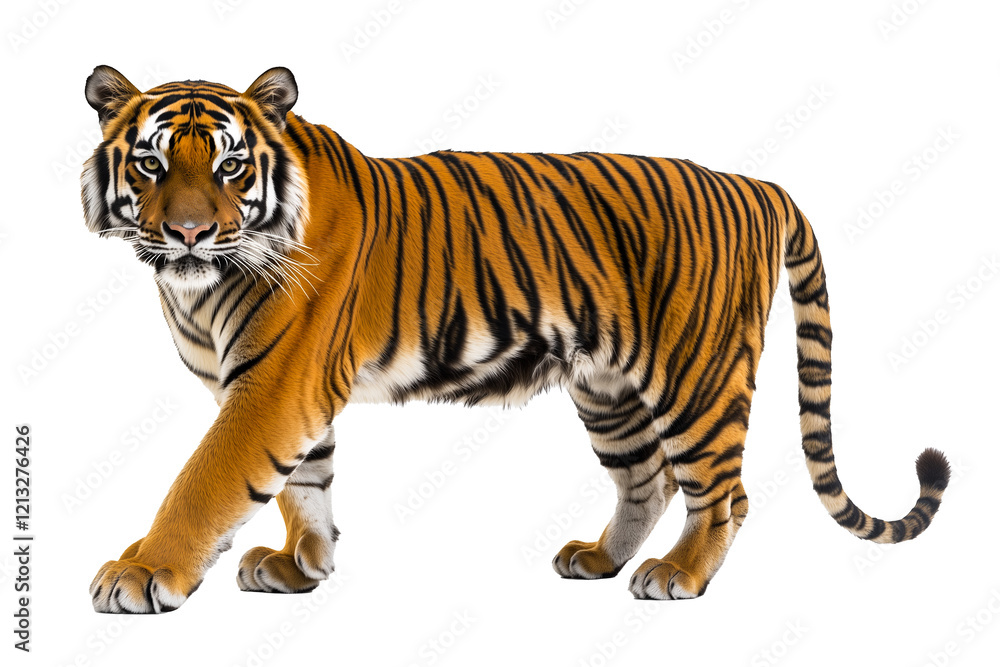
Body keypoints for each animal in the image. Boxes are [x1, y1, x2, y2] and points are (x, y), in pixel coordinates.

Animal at [81, 65, 950, 614]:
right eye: (152, 164)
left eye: (230, 167)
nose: (189, 234)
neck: (194, 288)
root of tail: (756, 184)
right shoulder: (290, 391)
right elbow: (305, 484)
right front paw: (304, 564)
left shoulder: (273, 384)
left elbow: (207, 481)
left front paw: (143, 570)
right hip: (610, 389)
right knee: (647, 479)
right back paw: (601, 559)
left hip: (697, 377)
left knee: (721, 490)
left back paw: (678, 574)